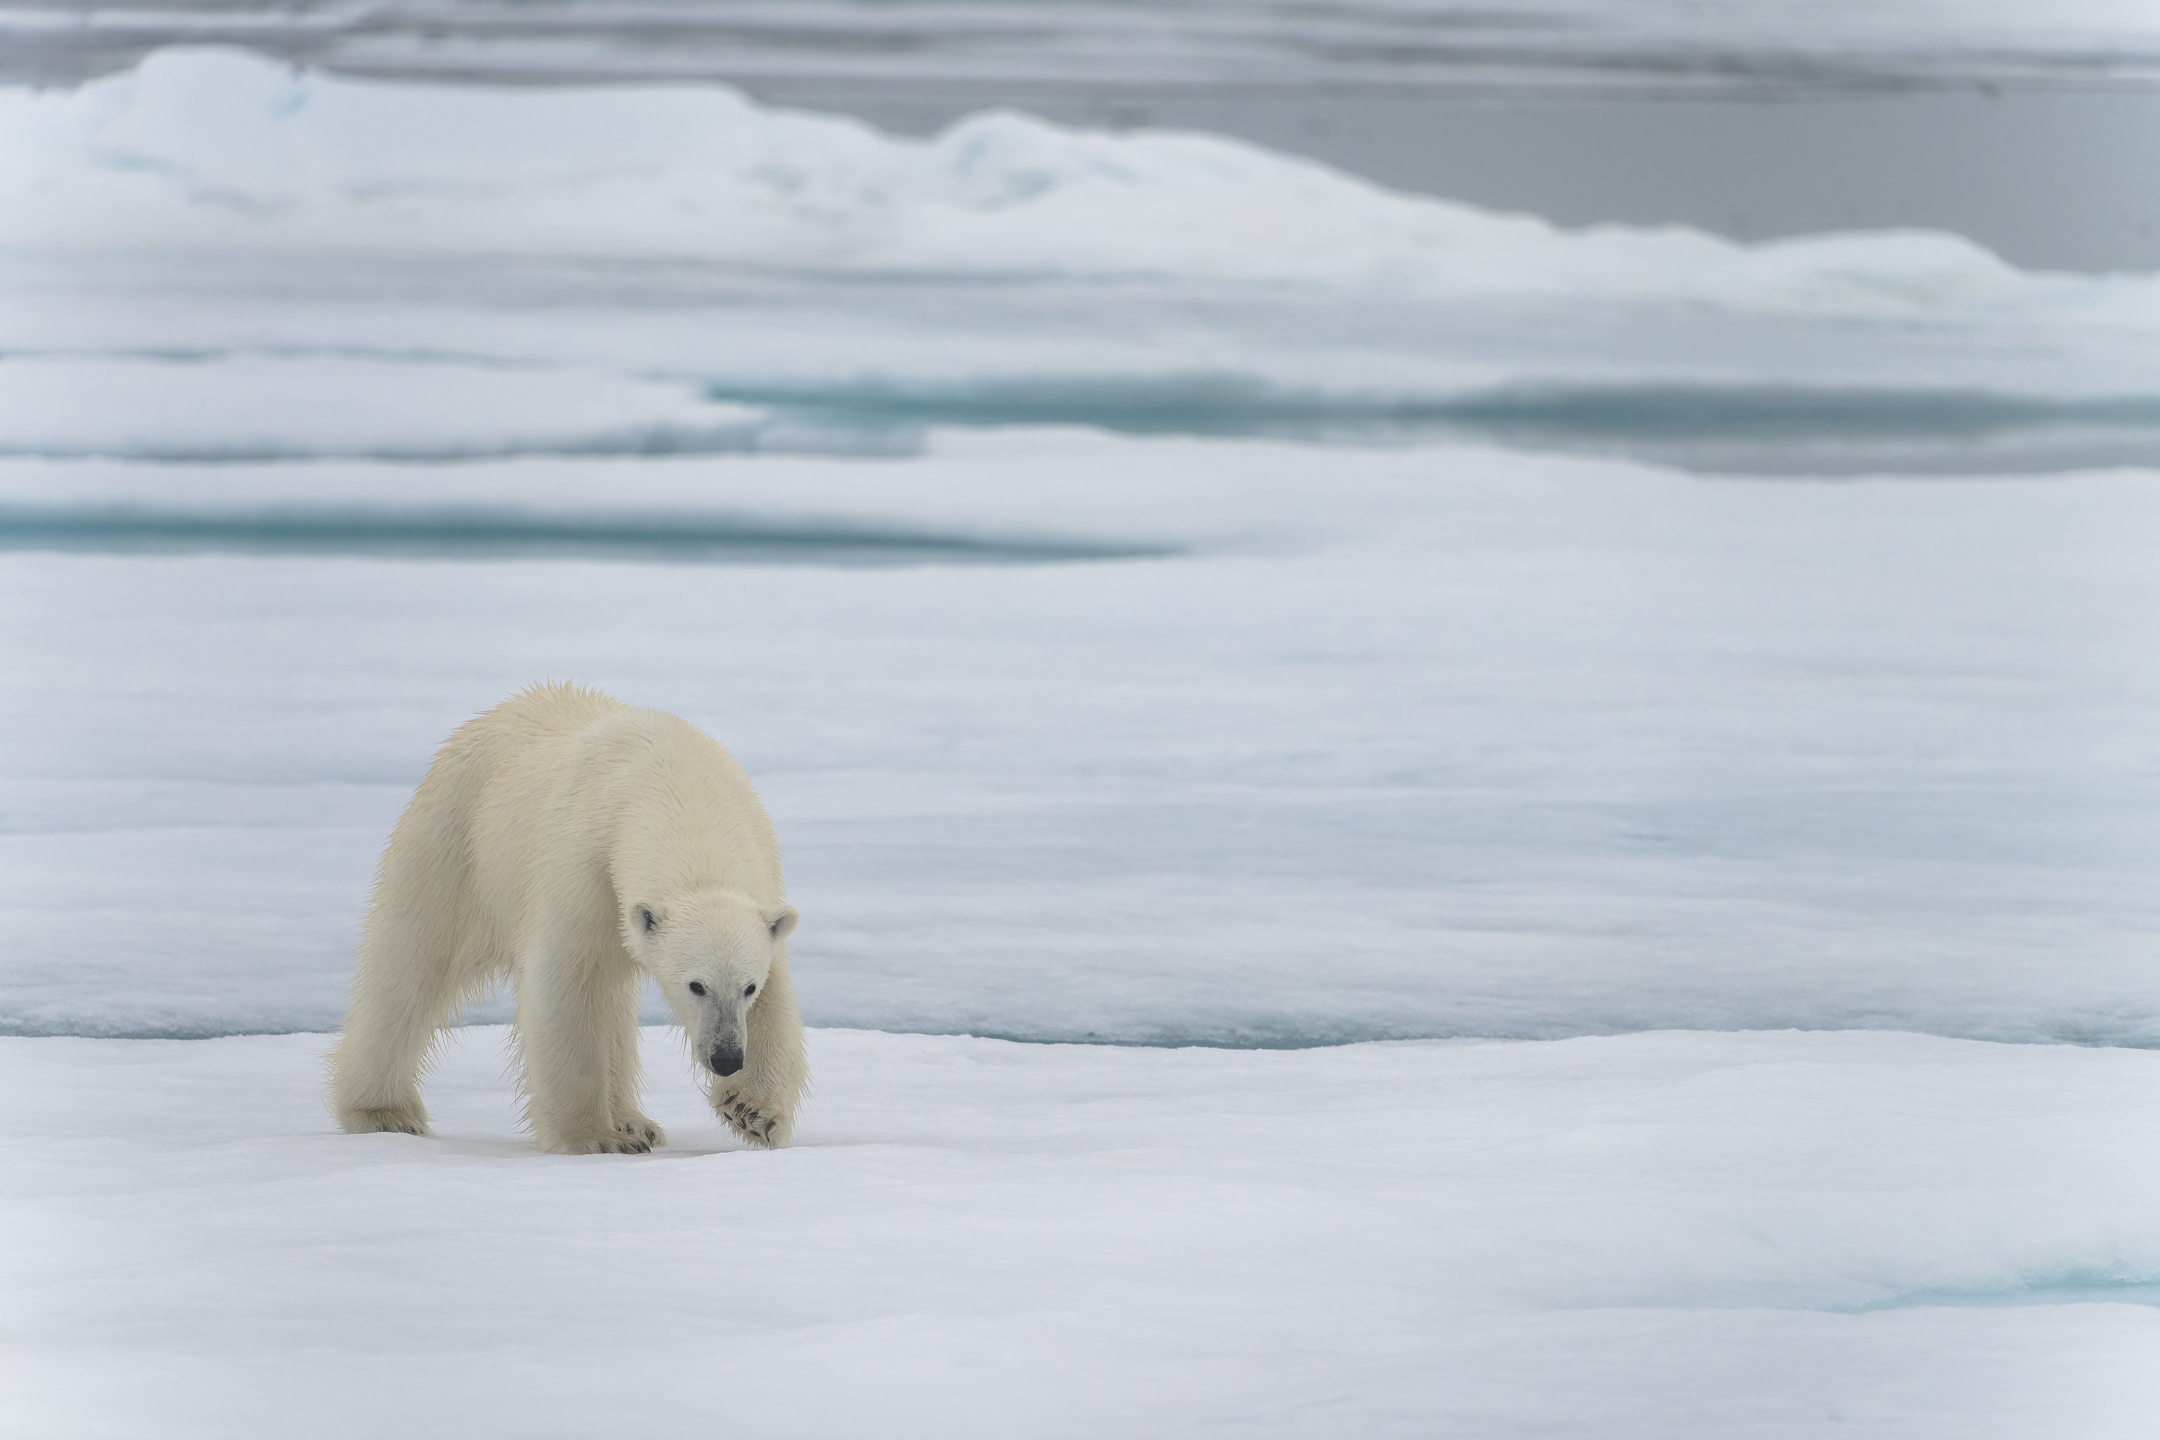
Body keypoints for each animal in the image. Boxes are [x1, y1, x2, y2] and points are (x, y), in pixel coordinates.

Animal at [329, 682, 807, 1154]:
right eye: (695, 985)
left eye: (748, 987)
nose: (726, 1058)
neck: (678, 791)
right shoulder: (586, 863)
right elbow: (567, 984)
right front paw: (594, 1137)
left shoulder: (758, 872)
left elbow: (777, 996)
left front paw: (751, 1111)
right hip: (453, 841)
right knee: (410, 966)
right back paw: (384, 1112)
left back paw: (636, 1123)